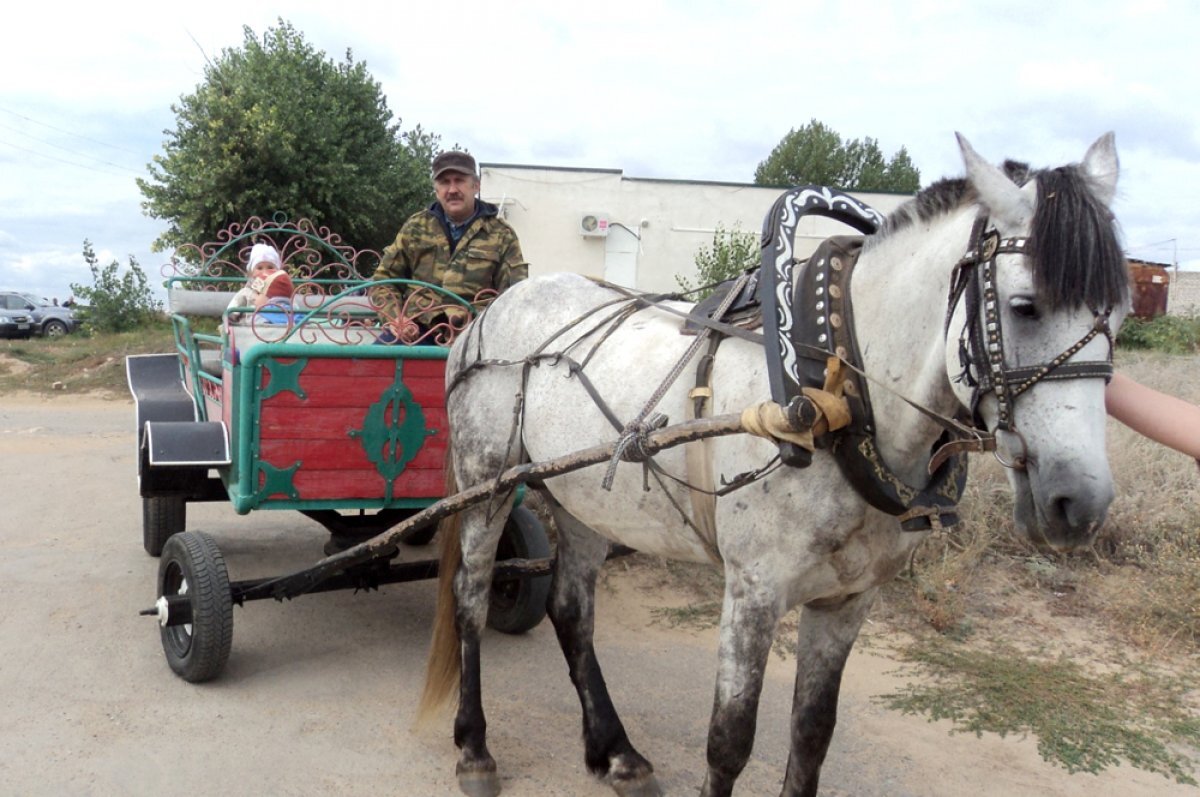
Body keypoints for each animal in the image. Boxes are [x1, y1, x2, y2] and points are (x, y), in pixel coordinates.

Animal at [417, 133, 1128, 792]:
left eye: (1119, 316)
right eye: (1024, 306)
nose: (1079, 504)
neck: (834, 398)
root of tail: (485, 315)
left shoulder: (848, 601)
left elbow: (812, 733)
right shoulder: (753, 592)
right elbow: (729, 742)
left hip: (584, 497)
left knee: (571, 611)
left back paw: (615, 753)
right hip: (486, 484)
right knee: (471, 597)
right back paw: (475, 747)